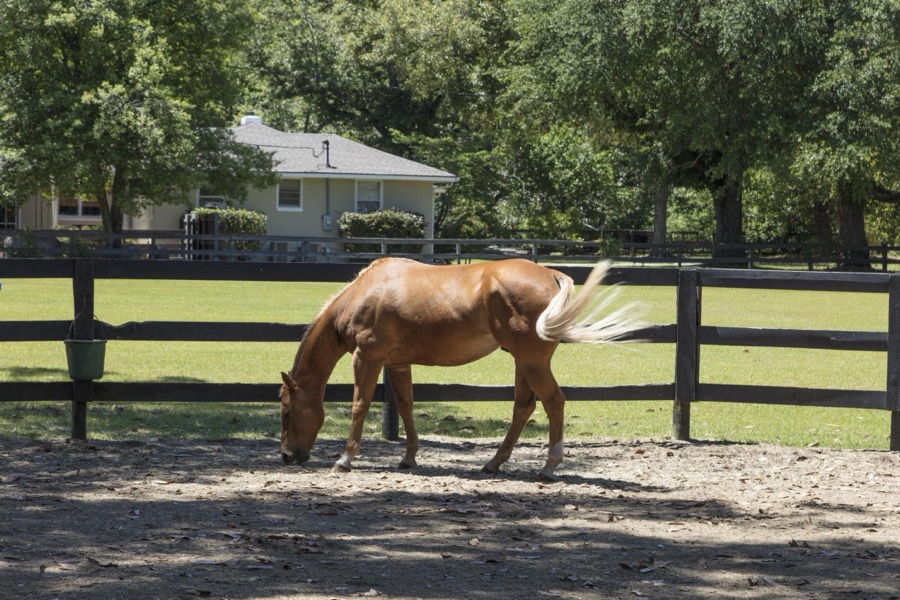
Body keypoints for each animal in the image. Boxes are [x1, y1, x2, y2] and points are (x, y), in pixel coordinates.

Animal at [279, 257, 644, 479]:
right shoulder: (397, 364)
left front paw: (345, 459)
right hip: (522, 361)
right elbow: (406, 406)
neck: (365, 293)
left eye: (285, 409)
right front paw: (409, 457)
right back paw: (494, 462)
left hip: (532, 361)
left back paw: (549, 465)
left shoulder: (366, 357)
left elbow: (359, 405)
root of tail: (551, 275)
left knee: (553, 402)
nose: (286, 455)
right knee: (523, 407)